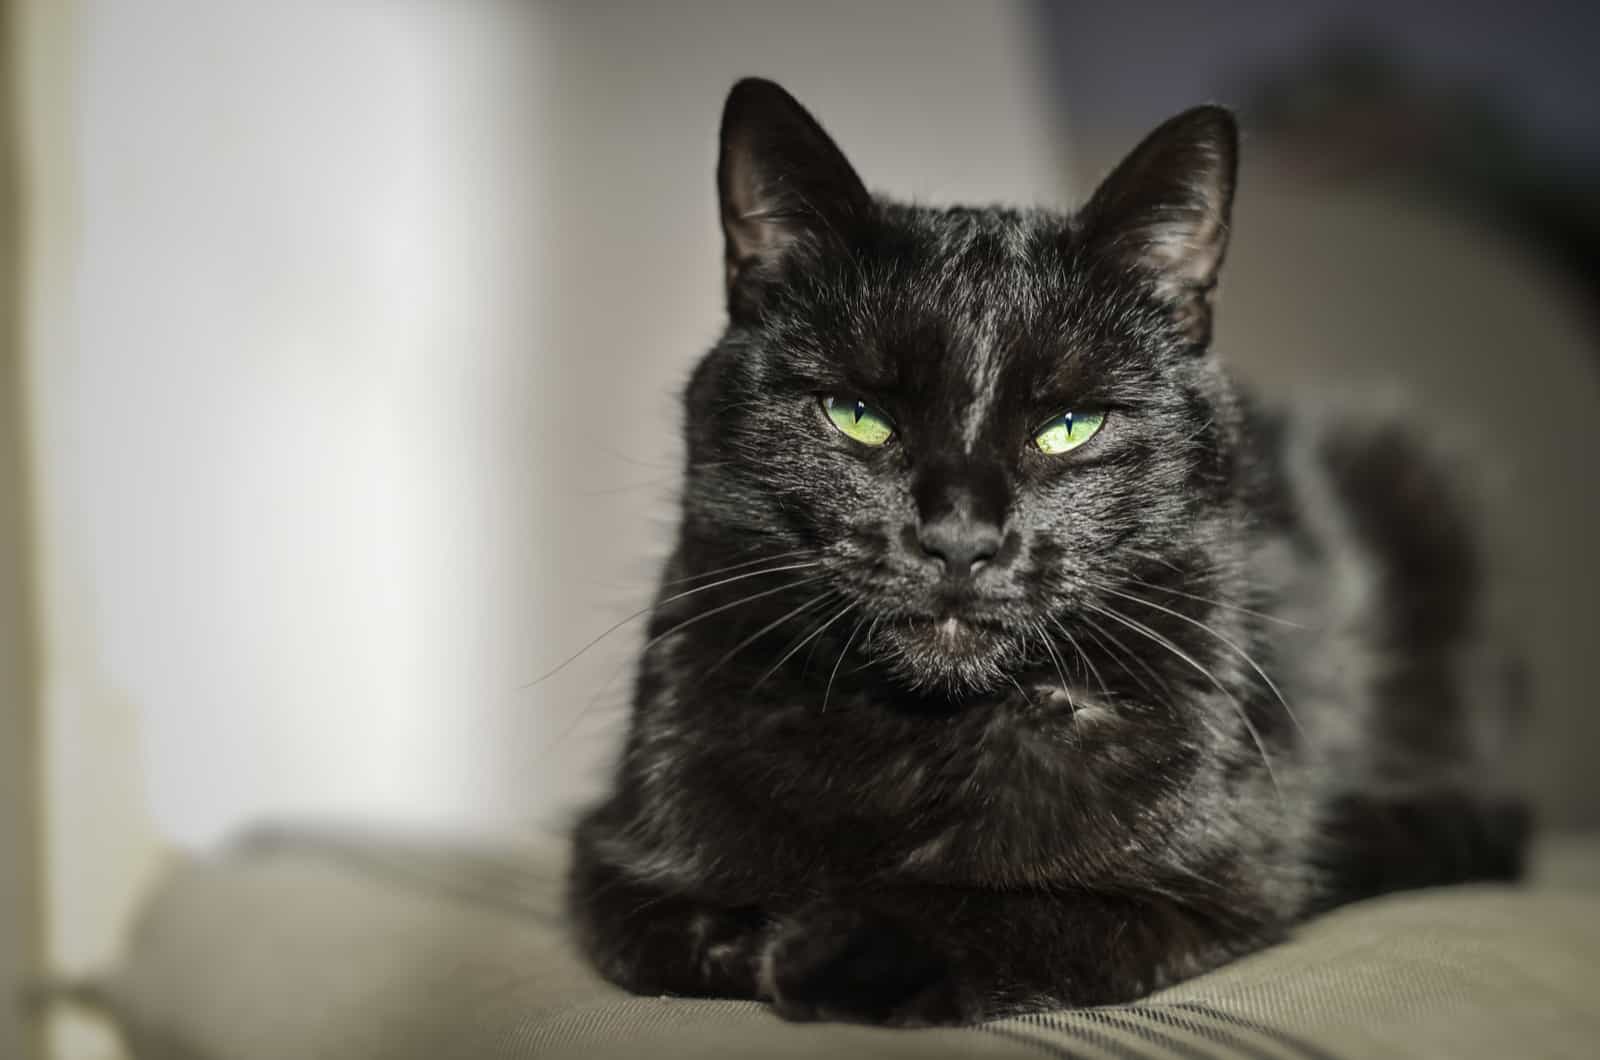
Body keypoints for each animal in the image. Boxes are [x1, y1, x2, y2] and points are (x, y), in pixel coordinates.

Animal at [569, 76, 1529, 1031]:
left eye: (1070, 426)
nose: (960, 539)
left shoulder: (1205, 885)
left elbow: (1018, 903)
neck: (925, 732)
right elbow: (677, 923)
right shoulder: (615, 856)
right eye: (856, 414)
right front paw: (764, 933)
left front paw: (840, 943)